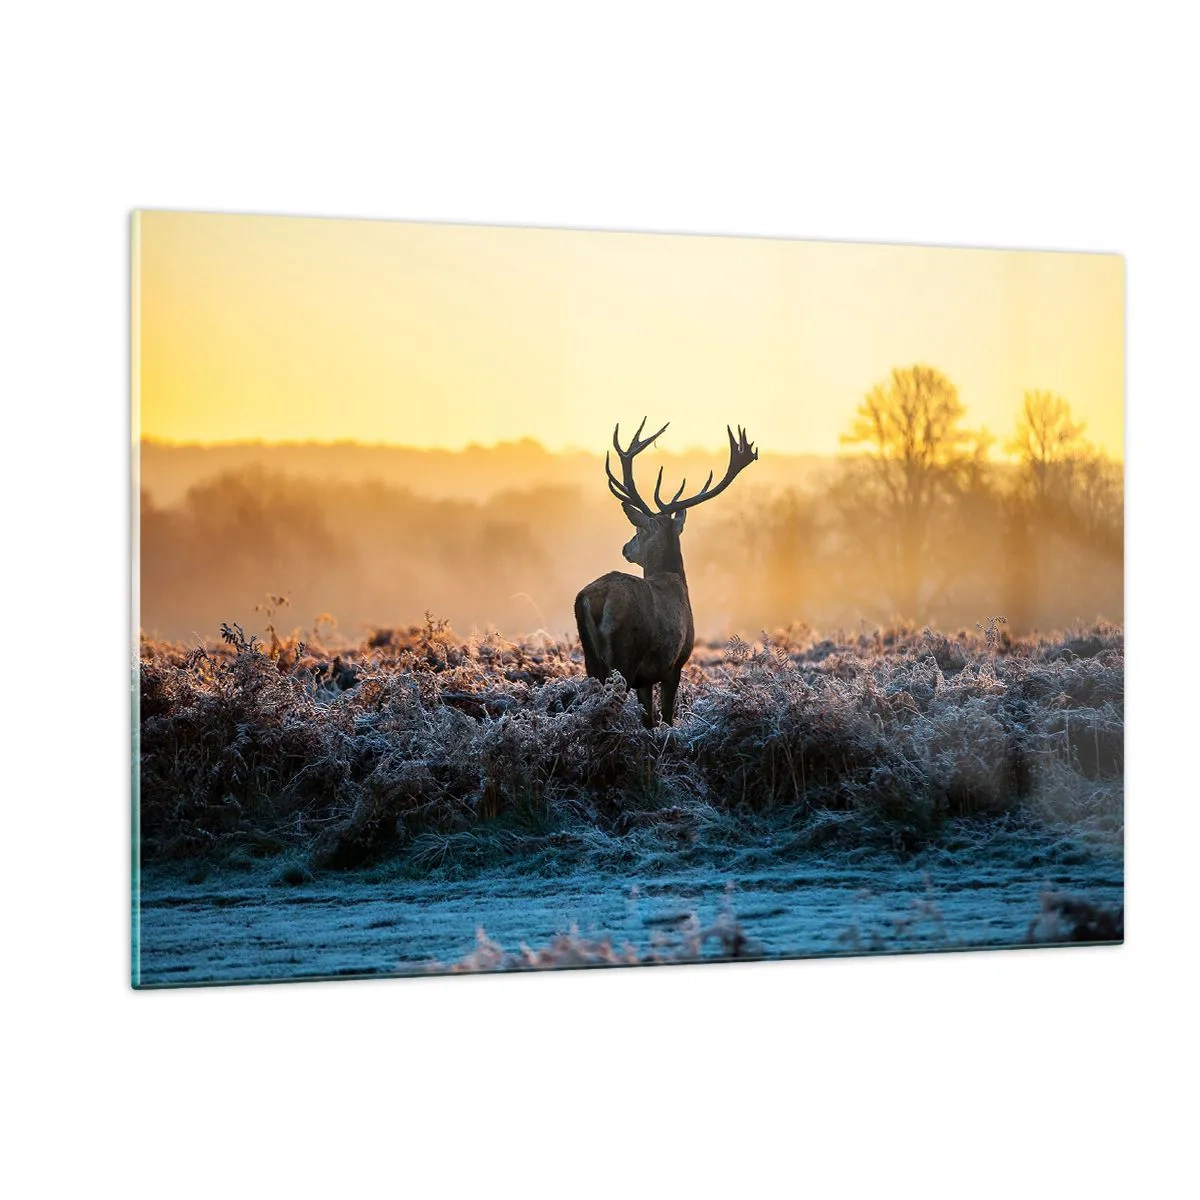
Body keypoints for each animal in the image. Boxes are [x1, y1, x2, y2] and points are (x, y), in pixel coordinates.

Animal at [574, 418, 759, 727]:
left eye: (637, 531)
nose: (626, 548)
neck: (674, 579)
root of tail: (595, 598)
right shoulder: (675, 663)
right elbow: (667, 717)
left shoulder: (647, 678)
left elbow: (649, 719)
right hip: (625, 655)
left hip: (592, 660)